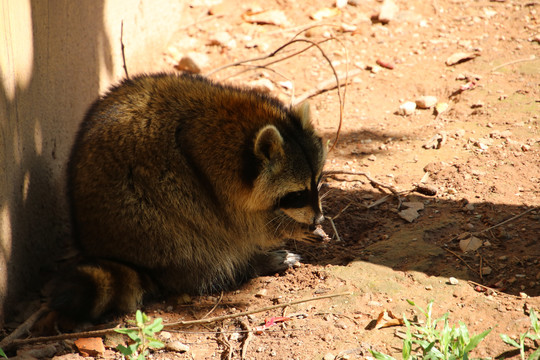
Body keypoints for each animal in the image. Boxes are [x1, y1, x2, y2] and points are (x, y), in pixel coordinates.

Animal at [50, 73, 326, 320]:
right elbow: (246, 227)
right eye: (297, 194)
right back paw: (250, 264)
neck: (246, 124)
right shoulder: (213, 179)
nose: (317, 219)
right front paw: (291, 227)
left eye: (318, 181)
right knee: (199, 244)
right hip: (149, 227)